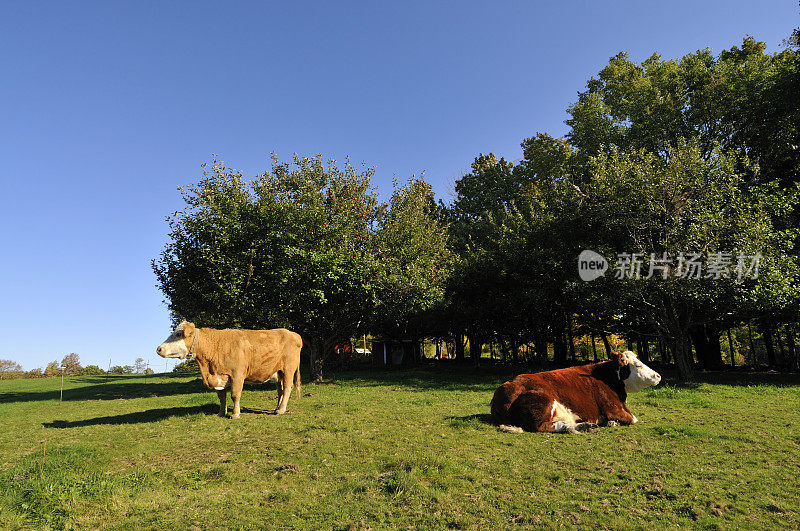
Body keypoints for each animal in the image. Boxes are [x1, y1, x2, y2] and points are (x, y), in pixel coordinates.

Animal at [157, 320, 304, 420]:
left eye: (178, 334)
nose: (159, 349)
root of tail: (293, 333)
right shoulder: (218, 376)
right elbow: (221, 397)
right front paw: (221, 413)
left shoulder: (237, 375)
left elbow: (235, 395)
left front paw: (235, 414)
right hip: (278, 371)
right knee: (280, 390)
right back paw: (276, 408)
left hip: (288, 369)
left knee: (287, 388)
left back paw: (281, 410)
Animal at [490, 352, 660, 434]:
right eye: (638, 365)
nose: (658, 376)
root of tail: (511, 384)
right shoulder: (614, 408)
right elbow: (634, 419)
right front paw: (611, 422)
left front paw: (610, 423)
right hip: (544, 403)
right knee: (544, 426)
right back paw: (583, 427)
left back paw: (587, 425)